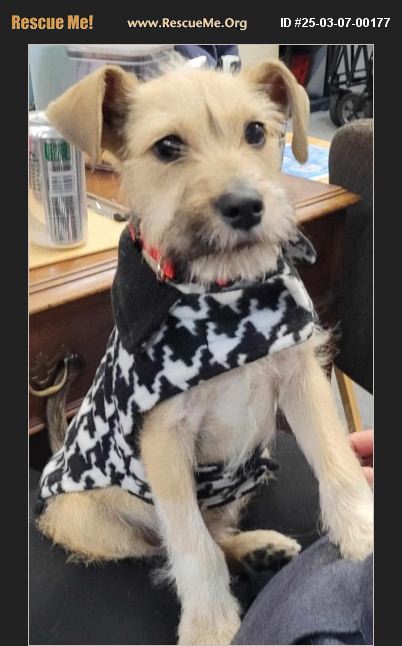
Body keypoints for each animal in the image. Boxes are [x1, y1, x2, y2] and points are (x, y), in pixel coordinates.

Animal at [36, 58, 373, 646]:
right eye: (168, 146)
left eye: (256, 132)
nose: (245, 205)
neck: (222, 292)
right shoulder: (164, 442)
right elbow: (191, 547)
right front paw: (210, 624)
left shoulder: (301, 379)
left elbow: (338, 461)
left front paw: (362, 531)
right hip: (91, 520)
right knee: (171, 543)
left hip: (244, 477)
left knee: (216, 528)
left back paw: (258, 548)